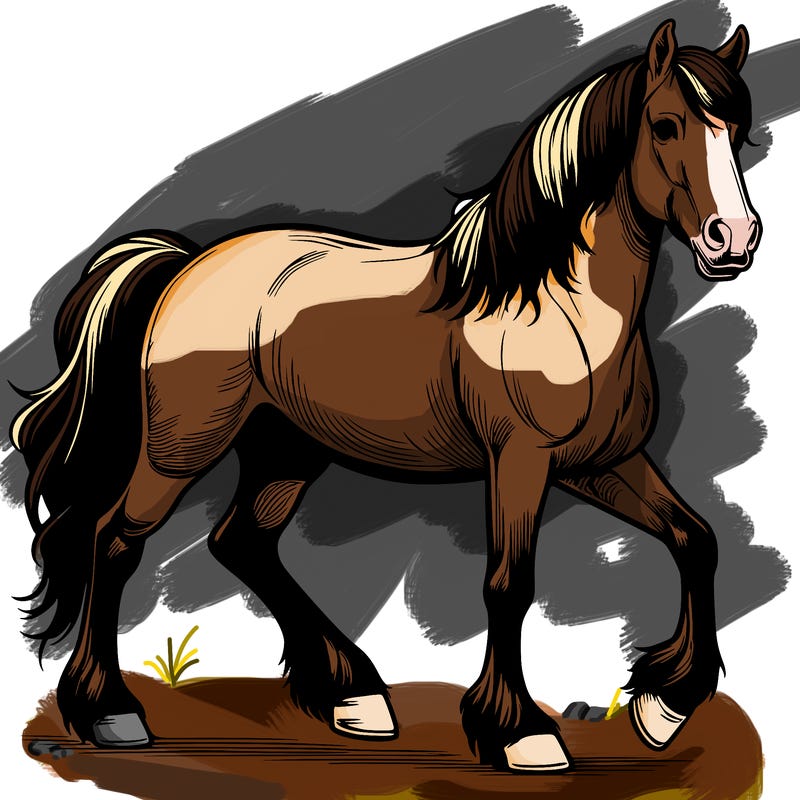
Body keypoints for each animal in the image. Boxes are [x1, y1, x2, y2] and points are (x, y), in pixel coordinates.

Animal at [11, 19, 760, 772]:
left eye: (737, 130)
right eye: (665, 125)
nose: (734, 239)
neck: (556, 304)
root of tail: (187, 264)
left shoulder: (601, 463)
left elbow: (696, 540)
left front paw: (662, 706)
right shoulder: (521, 463)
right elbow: (509, 585)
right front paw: (520, 733)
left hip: (286, 450)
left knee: (242, 542)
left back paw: (354, 696)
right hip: (181, 450)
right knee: (114, 541)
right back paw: (110, 713)